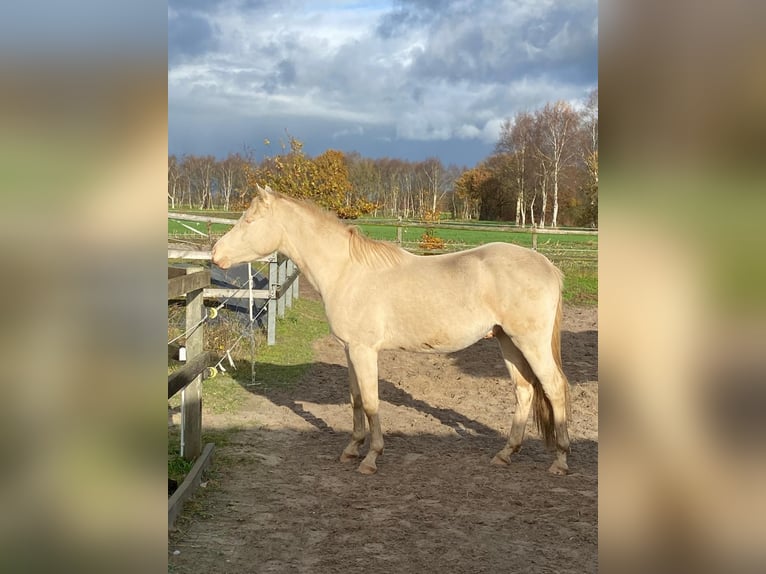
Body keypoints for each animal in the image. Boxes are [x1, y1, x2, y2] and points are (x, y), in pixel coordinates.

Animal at [212, 186, 568, 476]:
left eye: (249, 220)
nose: (216, 253)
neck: (347, 271)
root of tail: (548, 266)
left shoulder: (364, 350)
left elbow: (371, 402)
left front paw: (371, 458)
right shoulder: (349, 349)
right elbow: (356, 398)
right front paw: (351, 449)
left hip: (530, 343)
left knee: (554, 388)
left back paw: (560, 460)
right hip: (508, 342)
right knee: (524, 391)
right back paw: (506, 454)